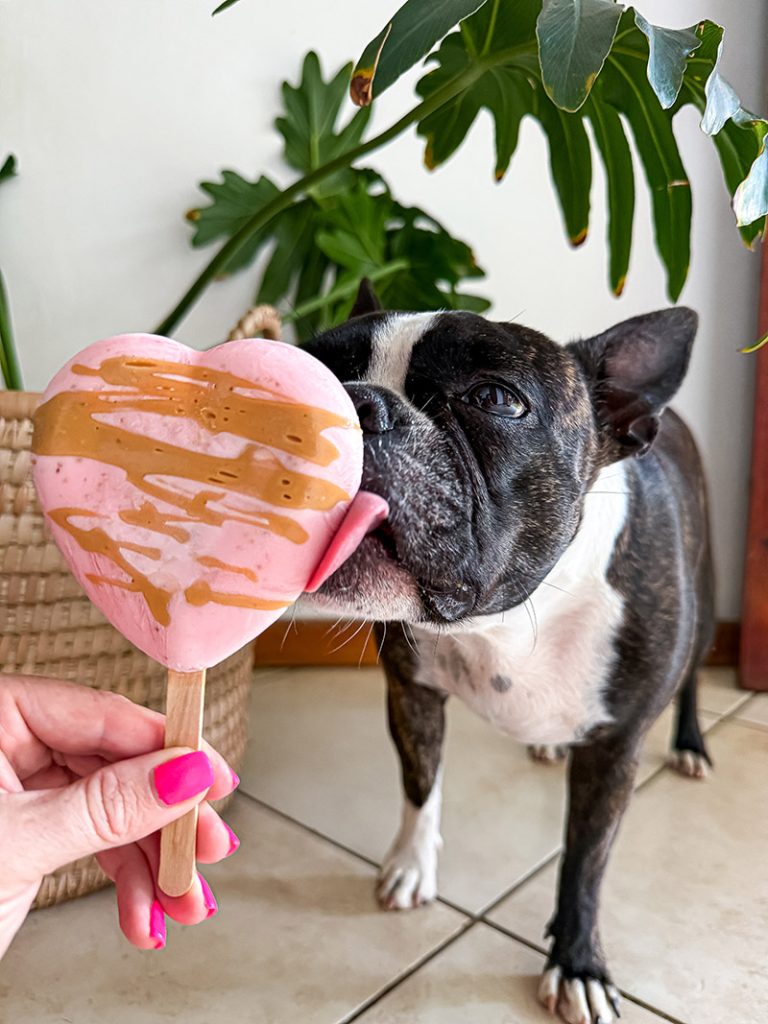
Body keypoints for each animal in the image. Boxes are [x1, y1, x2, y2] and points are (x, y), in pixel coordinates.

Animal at [303, 284, 716, 1024]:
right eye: (307, 367)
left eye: (494, 399)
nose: (353, 402)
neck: (510, 619)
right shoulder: (411, 692)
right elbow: (420, 783)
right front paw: (412, 864)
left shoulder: (615, 749)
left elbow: (585, 862)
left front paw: (578, 963)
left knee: (694, 678)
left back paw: (691, 745)